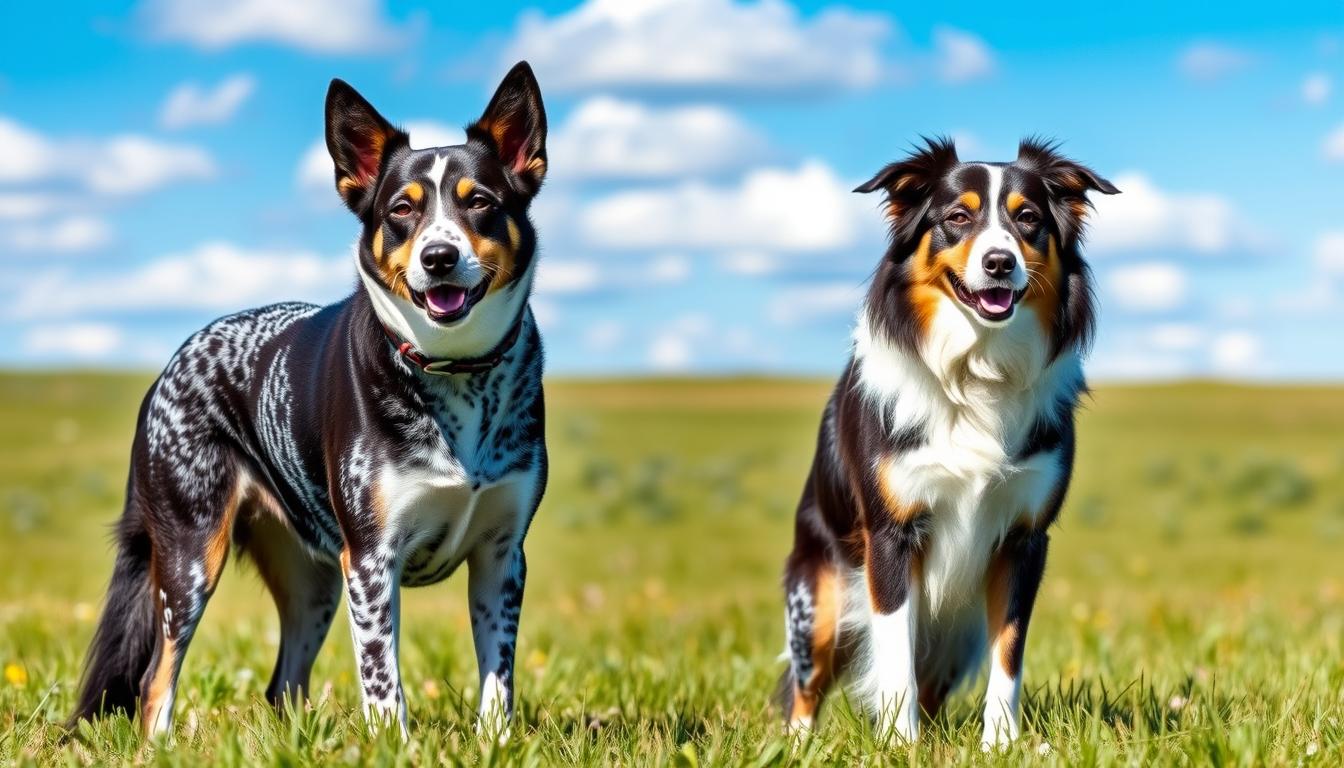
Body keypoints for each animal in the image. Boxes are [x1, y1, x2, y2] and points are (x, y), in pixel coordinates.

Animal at [66, 61, 551, 737]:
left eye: (479, 201)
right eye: (402, 209)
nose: (439, 256)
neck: (455, 372)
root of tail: (170, 366)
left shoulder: (503, 556)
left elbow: (497, 677)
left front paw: (497, 742)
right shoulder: (371, 561)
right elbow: (383, 682)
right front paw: (394, 744)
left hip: (314, 582)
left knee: (281, 686)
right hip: (191, 558)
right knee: (154, 679)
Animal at [779, 136, 1112, 747]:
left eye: (1028, 218)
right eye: (957, 217)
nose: (999, 262)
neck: (975, 368)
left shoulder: (1024, 539)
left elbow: (1009, 654)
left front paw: (1001, 743)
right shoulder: (890, 536)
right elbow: (894, 657)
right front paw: (898, 745)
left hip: (957, 633)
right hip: (820, 602)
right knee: (805, 687)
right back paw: (797, 745)